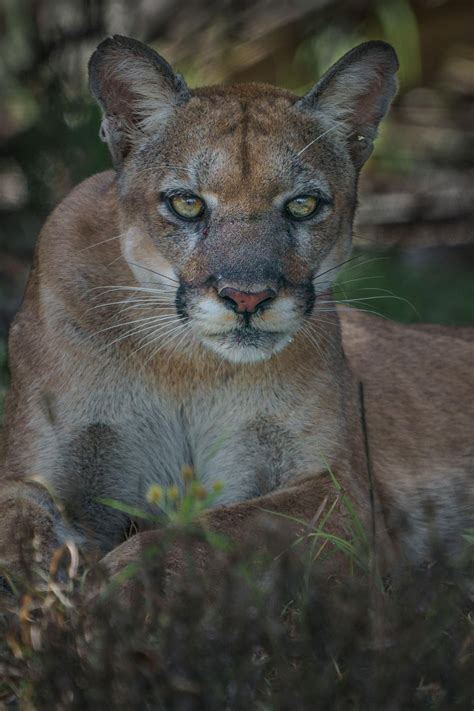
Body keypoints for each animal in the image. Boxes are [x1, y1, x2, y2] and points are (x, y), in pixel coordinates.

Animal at [0, 34, 472, 584]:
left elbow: (218, 531)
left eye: (303, 205)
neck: (184, 364)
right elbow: (17, 516)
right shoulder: (38, 464)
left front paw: (113, 584)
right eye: (186, 203)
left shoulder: (340, 492)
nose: (248, 297)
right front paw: (48, 578)